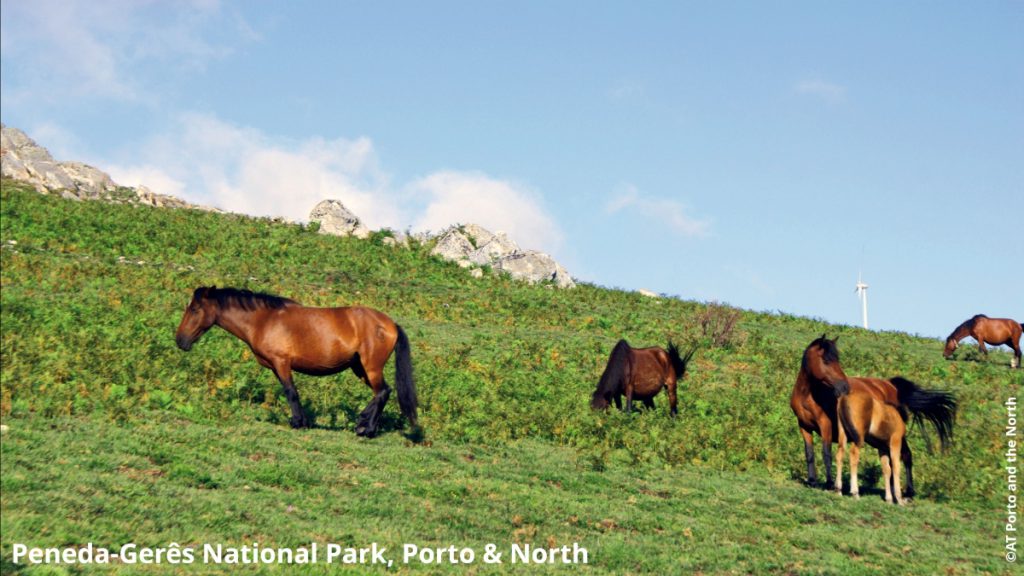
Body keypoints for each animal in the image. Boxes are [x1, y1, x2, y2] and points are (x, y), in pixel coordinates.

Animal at [175, 286, 418, 437]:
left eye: (195, 309)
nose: (180, 340)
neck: (264, 320)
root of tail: (391, 324)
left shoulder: (282, 363)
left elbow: (291, 391)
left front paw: (299, 422)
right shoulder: (275, 366)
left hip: (371, 367)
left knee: (382, 392)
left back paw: (365, 428)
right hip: (359, 368)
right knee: (381, 393)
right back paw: (366, 424)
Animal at [791, 335, 956, 498]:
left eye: (837, 360)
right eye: (826, 361)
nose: (844, 387)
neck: (808, 396)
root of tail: (891, 385)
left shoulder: (825, 425)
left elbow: (826, 454)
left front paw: (830, 484)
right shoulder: (804, 426)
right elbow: (809, 453)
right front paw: (812, 481)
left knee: (906, 455)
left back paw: (908, 492)